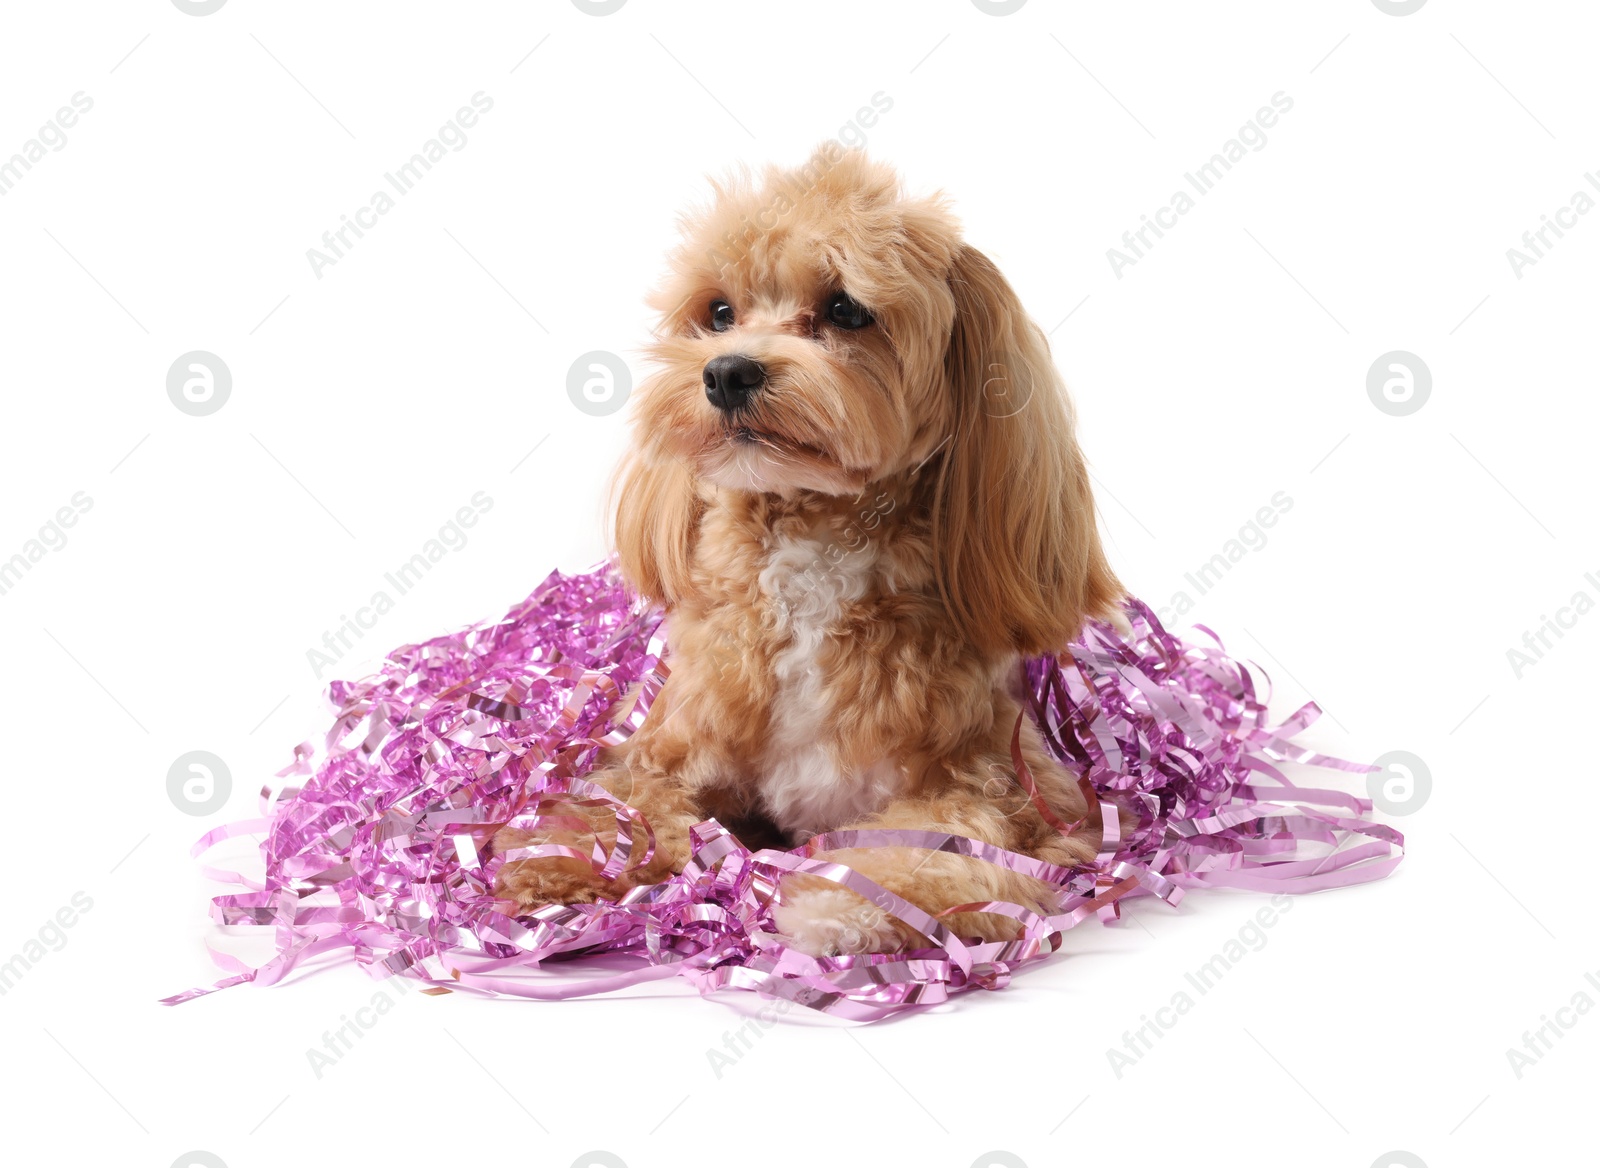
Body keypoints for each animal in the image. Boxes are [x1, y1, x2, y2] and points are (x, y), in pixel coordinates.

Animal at [492, 145, 1120, 953]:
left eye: (846, 309)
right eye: (718, 312)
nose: (726, 371)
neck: (813, 546)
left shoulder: (1009, 786)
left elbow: (939, 845)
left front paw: (843, 903)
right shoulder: (665, 741)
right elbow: (621, 801)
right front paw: (555, 858)